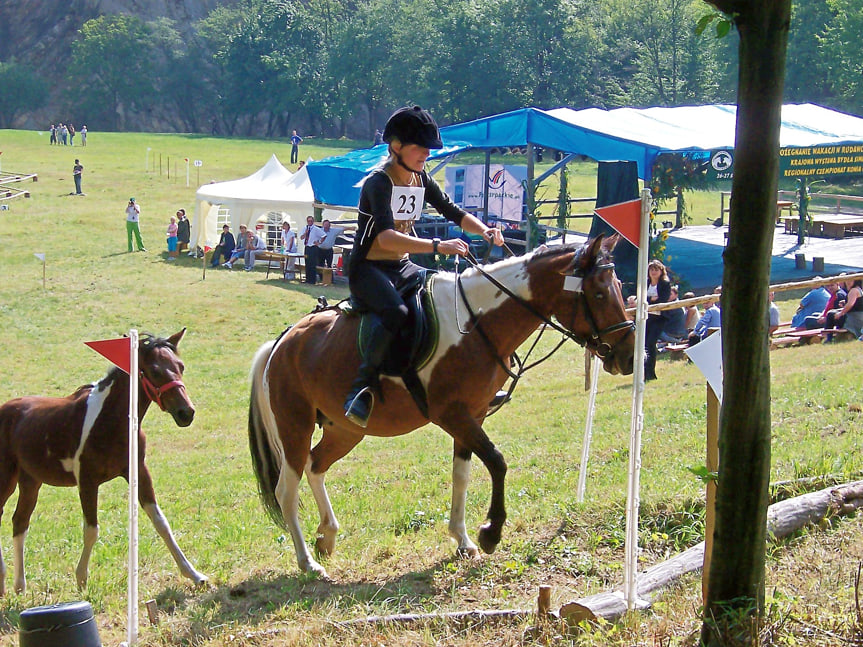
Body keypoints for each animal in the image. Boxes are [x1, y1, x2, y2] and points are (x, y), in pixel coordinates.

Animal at [0, 332, 208, 596]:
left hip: (30, 482)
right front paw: (81, 580)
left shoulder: (138, 472)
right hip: (6, 478)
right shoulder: (87, 482)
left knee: (20, 523)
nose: (186, 413)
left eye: (180, 367)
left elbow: (161, 522)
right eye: (154, 370)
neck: (111, 421)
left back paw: (19, 586)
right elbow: (91, 529)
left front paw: (194, 575)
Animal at [250, 237, 636, 576]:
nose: (629, 356)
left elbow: (462, 474)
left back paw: (327, 535)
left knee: (316, 466)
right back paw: (307, 563)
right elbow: (497, 462)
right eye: (599, 293)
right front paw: (491, 532)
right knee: (287, 490)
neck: (478, 322)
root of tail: (282, 341)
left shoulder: (473, 415)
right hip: (294, 427)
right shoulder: (452, 414)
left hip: (345, 430)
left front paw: (463, 539)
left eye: (619, 286)